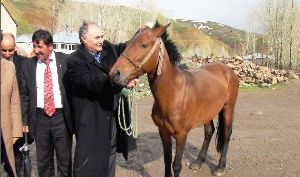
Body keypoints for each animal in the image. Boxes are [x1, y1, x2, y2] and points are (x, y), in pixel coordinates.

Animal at [109, 23, 239, 177]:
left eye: (144, 45)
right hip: (208, 112)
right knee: (209, 132)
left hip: (228, 108)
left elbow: (176, 165)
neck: (174, 93)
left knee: (226, 135)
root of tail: (227, 69)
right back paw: (198, 161)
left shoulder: (181, 135)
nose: (115, 74)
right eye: (127, 44)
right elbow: (167, 161)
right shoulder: (163, 132)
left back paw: (220, 167)